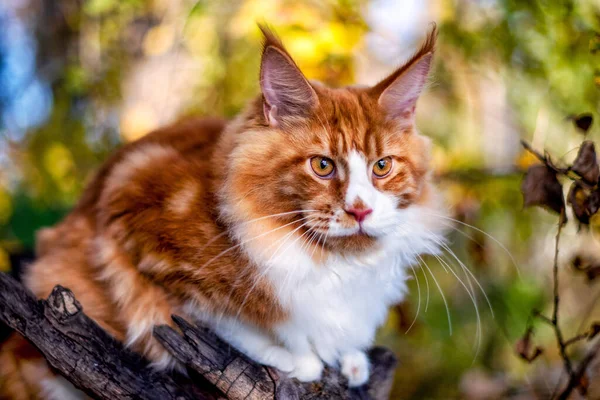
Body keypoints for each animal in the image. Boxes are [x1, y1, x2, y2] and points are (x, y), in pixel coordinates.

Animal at [0, 23, 446, 398]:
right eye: (322, 165)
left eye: (381, 167)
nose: (360, 211)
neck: (330, 261)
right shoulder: (133, 217)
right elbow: (214, 318)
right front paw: (298, 358)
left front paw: (348, 356)